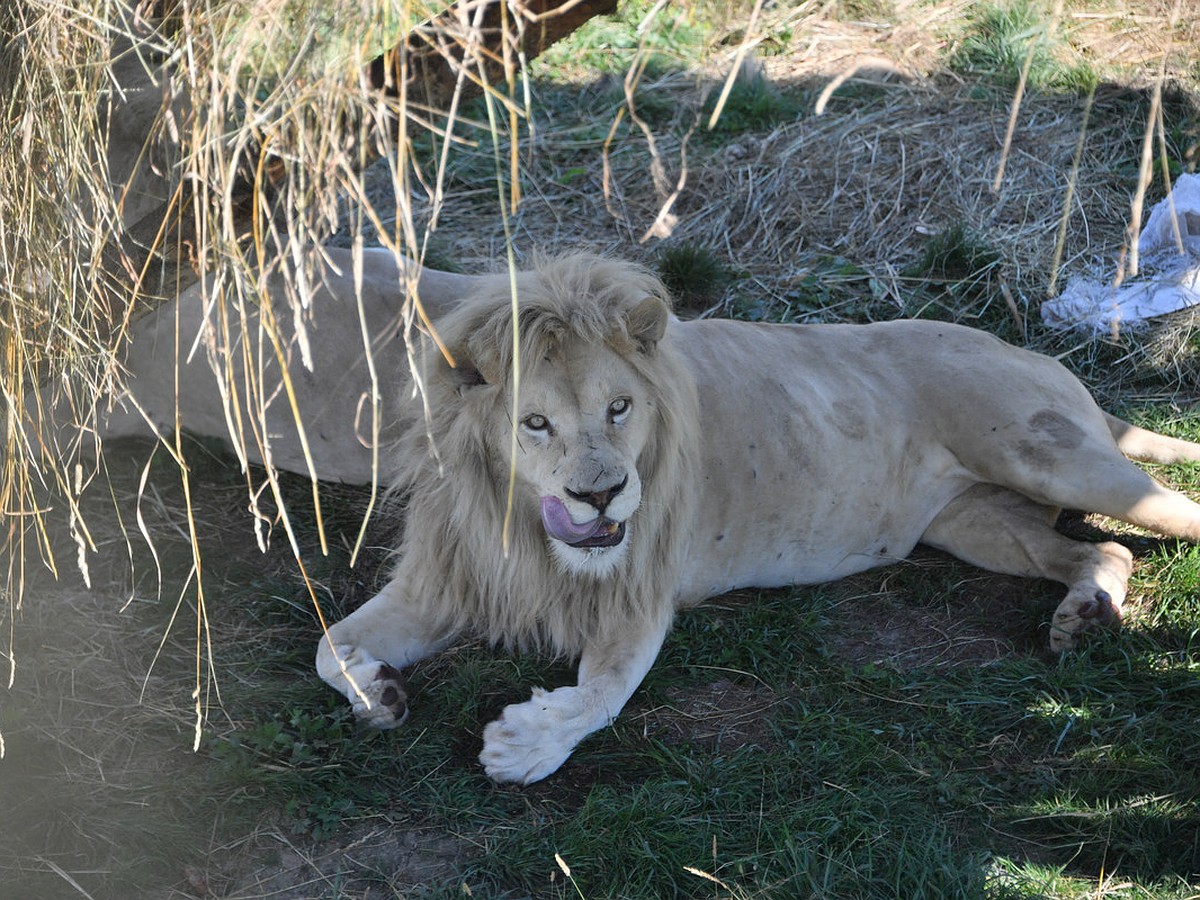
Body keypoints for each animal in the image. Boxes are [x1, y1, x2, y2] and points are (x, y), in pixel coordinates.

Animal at [316, 252, 1200, 782]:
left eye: (619, 408)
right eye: (534, 424)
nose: (601, 495)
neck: (523, 530)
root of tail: (1034, 354)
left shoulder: (639, 593)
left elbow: (604, 692)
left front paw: (523, 745)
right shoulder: (447, 578)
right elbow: (329, 650)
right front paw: (378, 690)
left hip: (1047, 455)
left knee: (1166, 514)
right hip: (972, 523)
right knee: (1106, 553)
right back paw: (1085, 615)